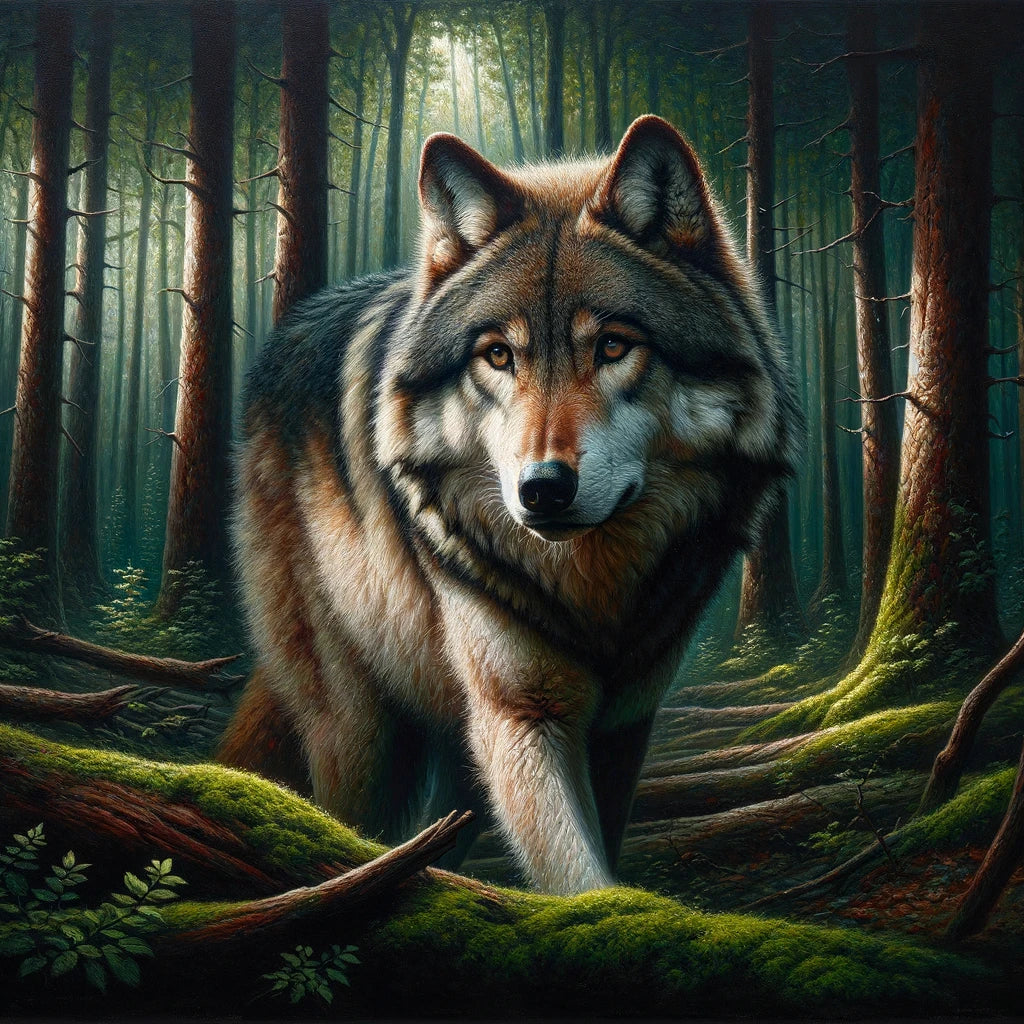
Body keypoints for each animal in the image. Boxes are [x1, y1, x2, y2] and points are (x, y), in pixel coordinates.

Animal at [219, 115, 798, 895]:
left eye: (613, 346)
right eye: (498, 355)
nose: (542, 488)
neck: (591, 589)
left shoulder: (624, 723)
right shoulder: (524, 713)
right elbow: (576, 876)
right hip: (359, 728)